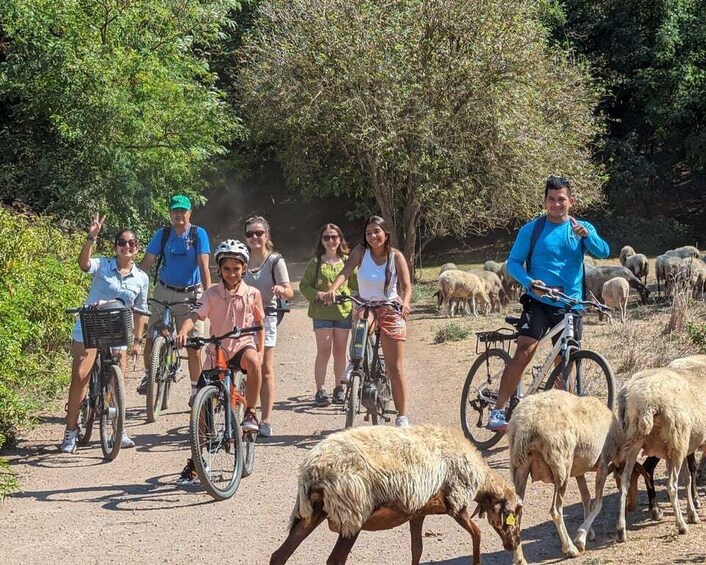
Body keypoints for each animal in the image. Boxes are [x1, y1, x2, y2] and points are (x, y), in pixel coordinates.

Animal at [270, 426, 528, 560]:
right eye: (514, 515)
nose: (514, 544)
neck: (481, 479)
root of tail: (312, 469)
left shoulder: (418, 512)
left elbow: (417, 549)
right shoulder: (456, 502)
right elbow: (477, 535)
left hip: (310, 514)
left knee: (279, 556)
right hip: (352, 514)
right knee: (334, 561)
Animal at [504, 388, 620, 556]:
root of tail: (526, 424)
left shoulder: (578, 470)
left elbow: (586, 498)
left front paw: (588, 532)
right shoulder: (604, 462)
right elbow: (597, 503)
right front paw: (581, 538)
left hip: (520, 468)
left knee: (516, 514)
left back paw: (519, 559)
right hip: (561, 465)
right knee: (556, 510)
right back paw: (570, 548)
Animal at [612, 354, 704, 540]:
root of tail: (646, 403)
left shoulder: (681, 447)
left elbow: (687, 478)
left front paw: (692, 513)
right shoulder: (682, 446)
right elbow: (688, 476)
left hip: (636, 442)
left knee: (625, 482)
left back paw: (621, 530)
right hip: (676, 440)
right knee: (671, 485)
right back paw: (681, 525)